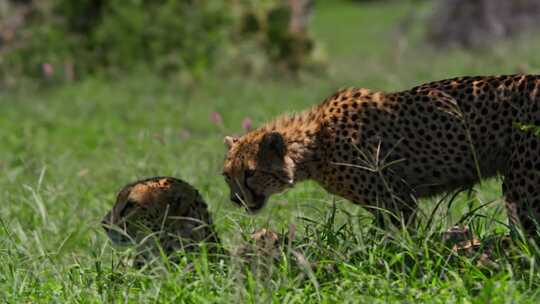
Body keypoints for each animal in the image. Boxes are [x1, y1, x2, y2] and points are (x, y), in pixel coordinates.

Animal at [221, 75, 540, 236]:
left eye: (250, 173)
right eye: (227, 176)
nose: (235, 199)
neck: (316, 142)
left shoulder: (396, 201)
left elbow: (399, 240)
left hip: (523, 183)